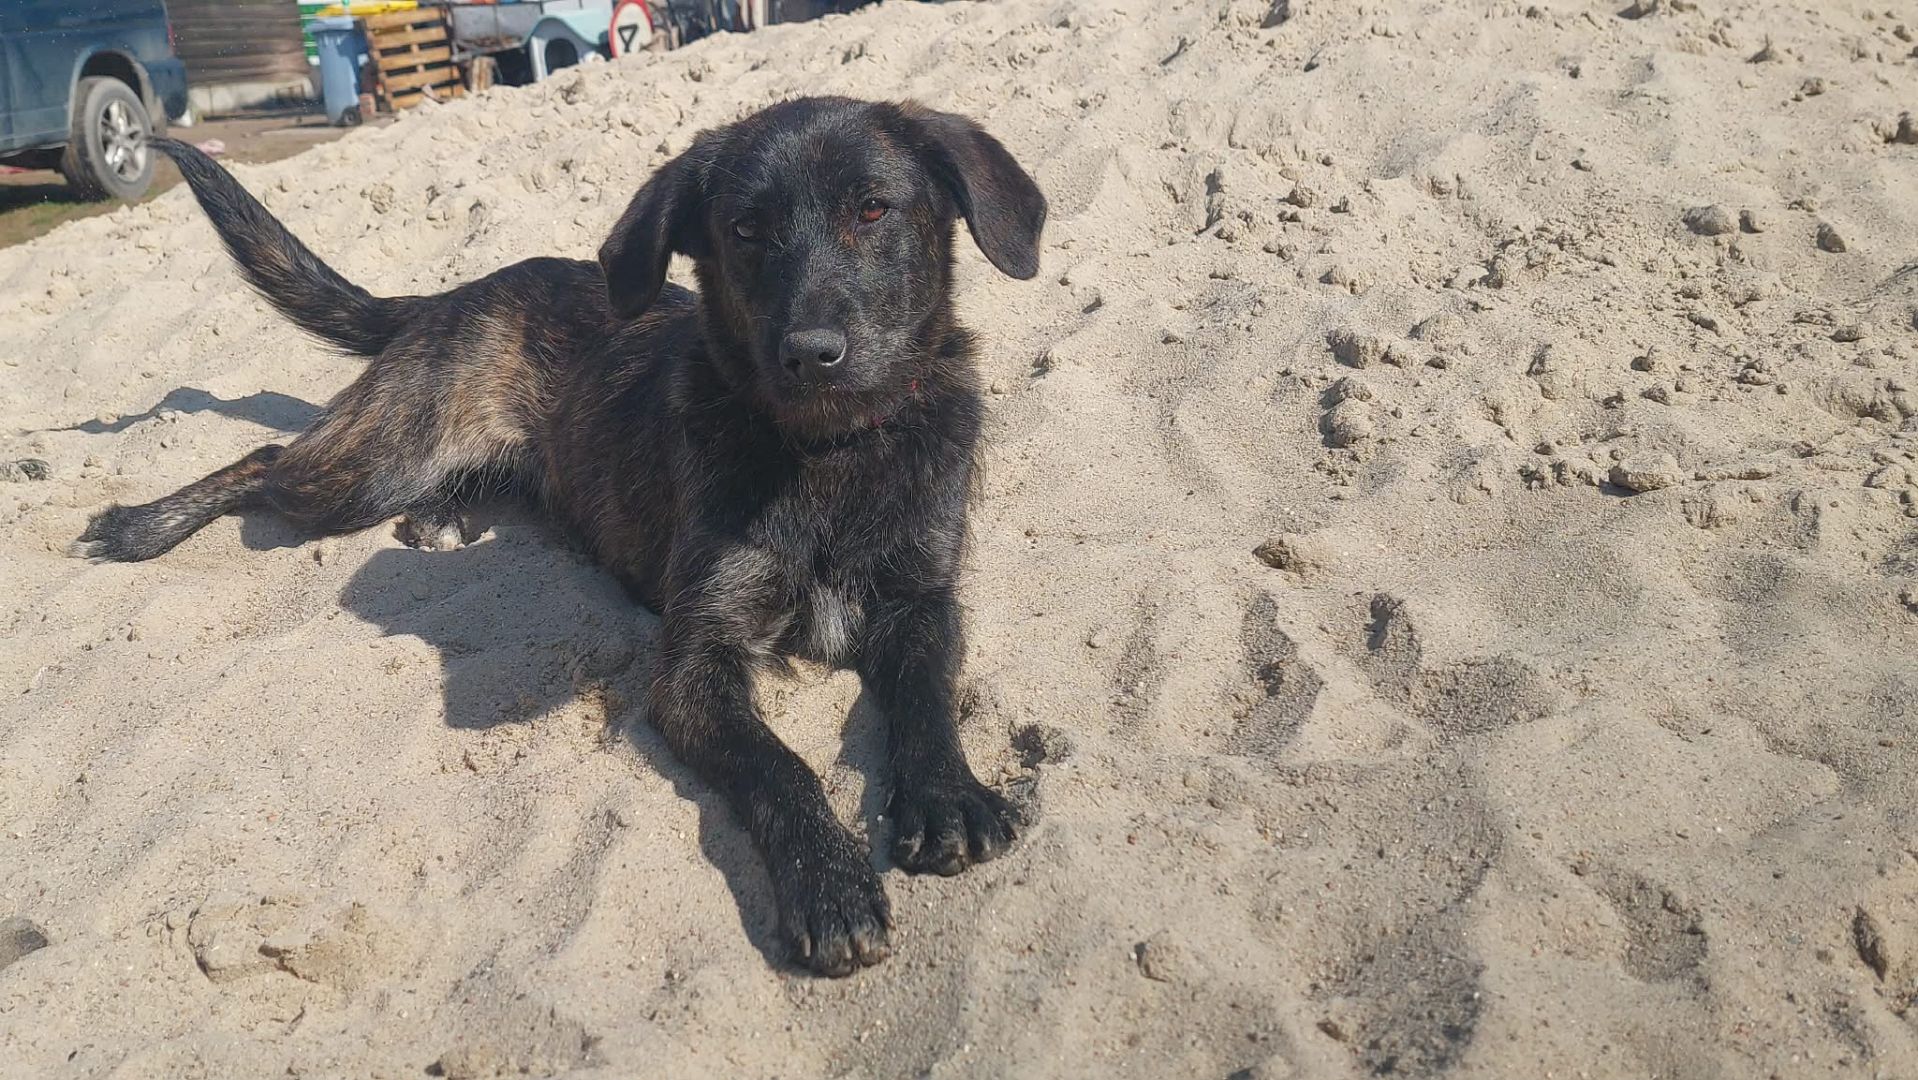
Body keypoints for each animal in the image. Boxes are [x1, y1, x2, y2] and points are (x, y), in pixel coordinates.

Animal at [72, 96, 1047, 976]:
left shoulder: (923, 601)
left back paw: (441, 519)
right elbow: (779, 767)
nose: (811, 353)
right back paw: (139, 526)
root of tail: (456, 291)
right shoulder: (695, 662)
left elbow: (927, 696)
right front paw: (830, 882)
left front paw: (948, 794)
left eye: (873, 208)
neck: (828, 451)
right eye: (745, 230)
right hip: (370, 464)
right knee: (268, 458)